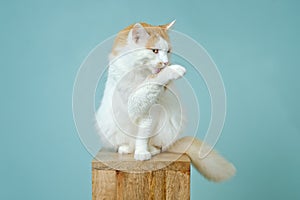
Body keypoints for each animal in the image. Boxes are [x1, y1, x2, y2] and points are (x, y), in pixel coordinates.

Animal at [95, 21, 236, 182]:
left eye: (168, 51)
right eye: (155, 51)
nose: (165, 62)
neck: (142, 73)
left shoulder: (149, 112)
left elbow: (143, 136)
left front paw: (142, 152)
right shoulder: (132, 103)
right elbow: (152, 82)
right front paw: (173, 70)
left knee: (157, 145)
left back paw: (151, 150)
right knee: (128, 143)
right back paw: (126, 149)